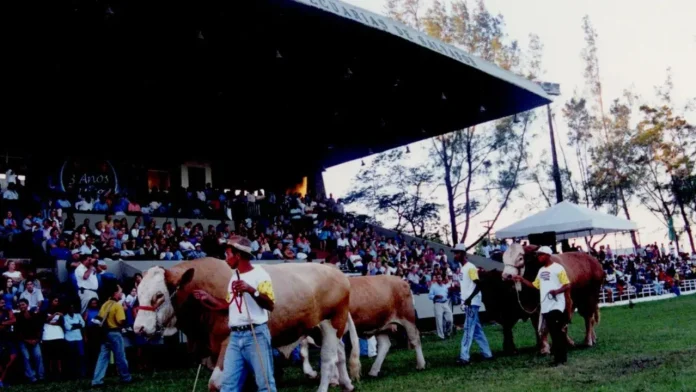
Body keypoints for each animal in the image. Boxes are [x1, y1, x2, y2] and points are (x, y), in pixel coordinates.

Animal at [132, 258, 358, 392]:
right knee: (339, 352)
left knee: (328, 358)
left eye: (159, 295)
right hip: (321, 327)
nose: (138, 329)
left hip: (332, 323)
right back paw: (346, 383)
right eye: (138, 293)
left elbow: (216, 383)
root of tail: (334, 270)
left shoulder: (227, 343)